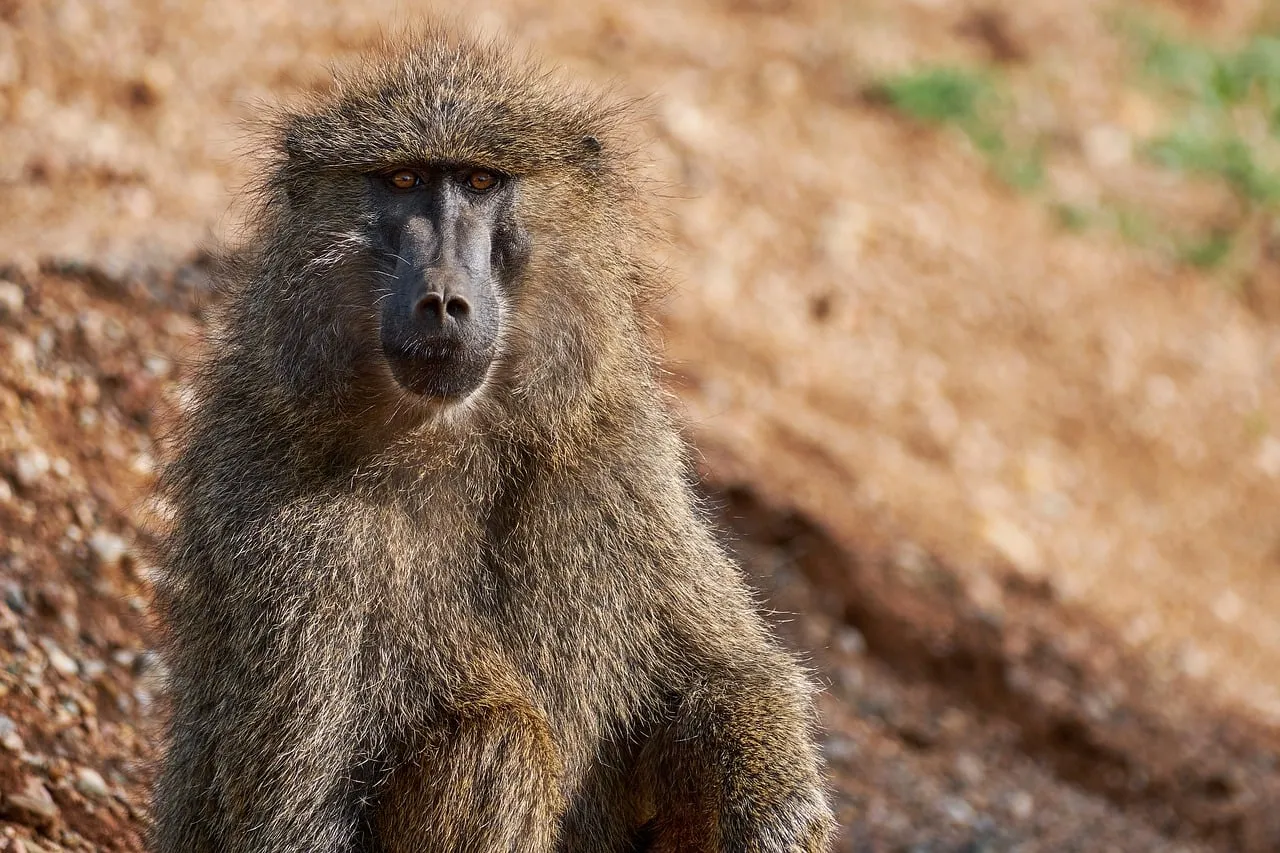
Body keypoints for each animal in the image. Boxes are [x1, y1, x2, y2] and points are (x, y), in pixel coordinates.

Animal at [148, 28, 834, 853]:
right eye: (404, 180)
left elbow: (720, 677)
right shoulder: (288, 528)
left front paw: (776, 808)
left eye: (479, 181)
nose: (443, 299)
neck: (454, 446)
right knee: (495, 740)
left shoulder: (617, 463)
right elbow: (293, 814)